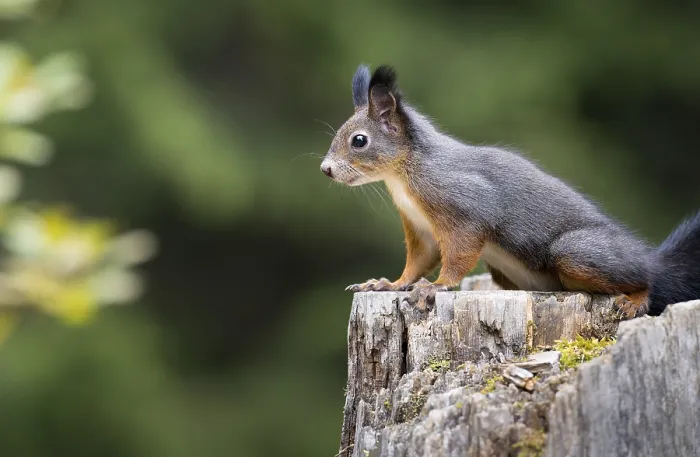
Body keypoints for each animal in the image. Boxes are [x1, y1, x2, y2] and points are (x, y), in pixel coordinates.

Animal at [320, 64, 700, 317]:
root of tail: (648, 257)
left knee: (646, 280)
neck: (403, 176)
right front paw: (389, 284)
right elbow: (417, 262)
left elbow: (458, 254)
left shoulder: (466, 208)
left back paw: (634, 299)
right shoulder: (420, 229)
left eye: (359, 141)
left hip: (576, 252)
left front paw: (437, 286)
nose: (325, 169)